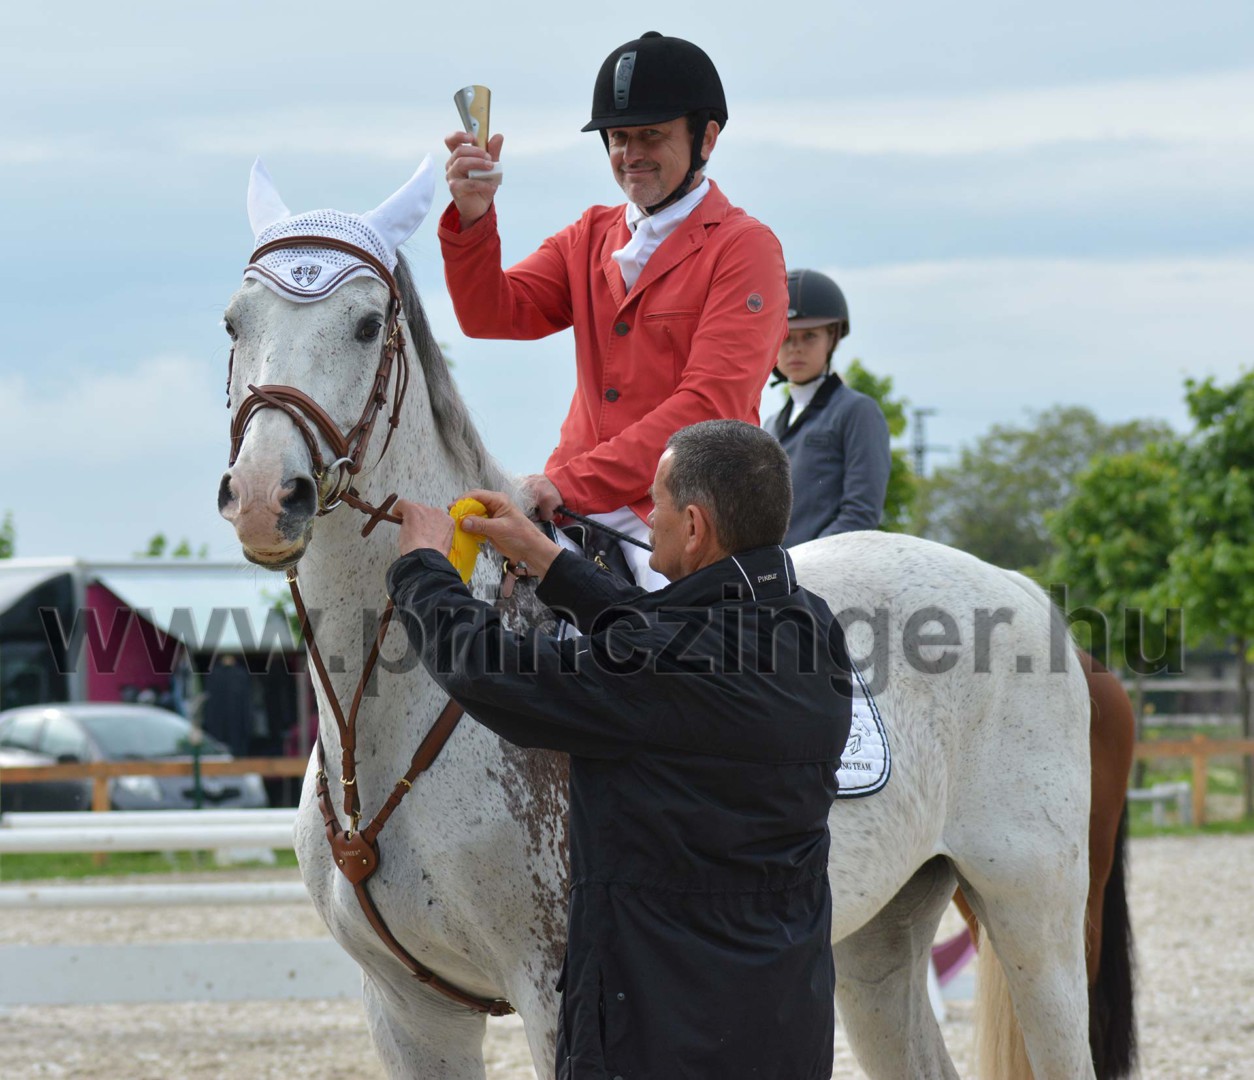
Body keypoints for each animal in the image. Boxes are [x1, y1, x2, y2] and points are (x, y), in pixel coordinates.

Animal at [218, 161, 1098, 1079]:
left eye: (364, 326)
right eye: (234, 322)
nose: (265, 498)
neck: (386, 718)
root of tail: (1016, 585)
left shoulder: (554, 993)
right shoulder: (406, 1011)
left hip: (1032, 912)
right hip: (878, 934)